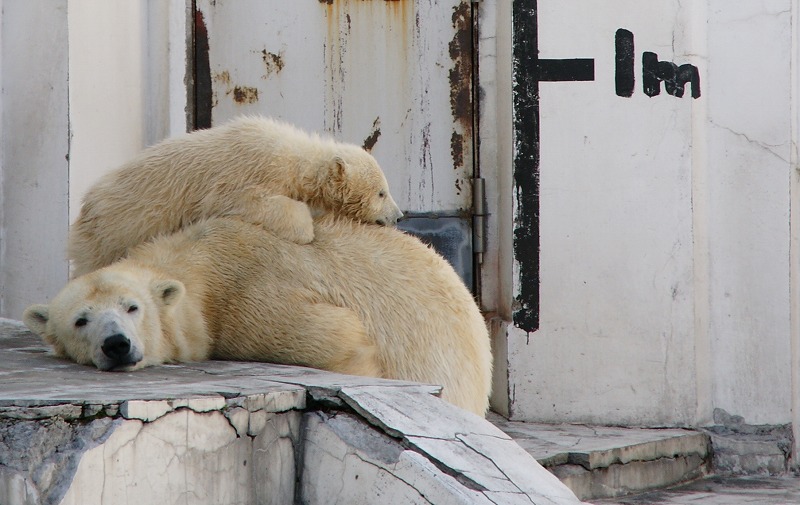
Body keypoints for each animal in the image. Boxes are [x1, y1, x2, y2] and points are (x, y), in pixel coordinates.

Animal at [25, 215, 490, 416]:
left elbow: (337, 336)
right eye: (80, 320)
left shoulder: (250, 291)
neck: (201, 260)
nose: (117, 344)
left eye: (131, 307)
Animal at [69, 115, 404, 276]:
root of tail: (85, 208)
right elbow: (248, 202)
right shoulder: (247, 172)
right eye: (382, 192)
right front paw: (304, 228)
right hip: (114, 228)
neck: (295, 157)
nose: (399, 216)